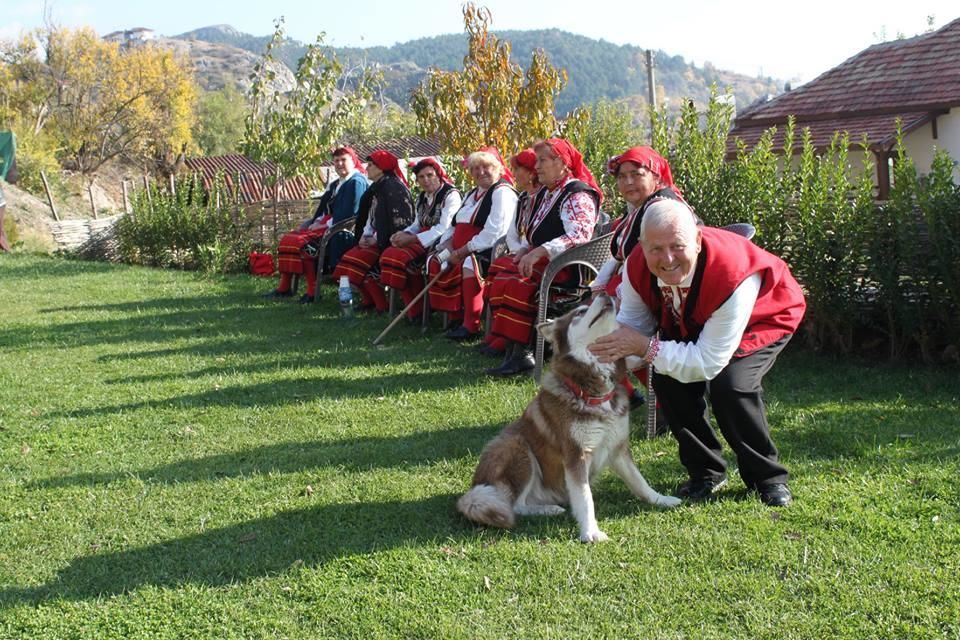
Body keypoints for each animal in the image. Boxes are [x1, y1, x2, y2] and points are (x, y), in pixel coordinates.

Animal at [458, 294, 684, 540]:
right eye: (580, 311)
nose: (605, 293)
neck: (594, 392)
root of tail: (476, 486)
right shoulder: (576, 454)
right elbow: (585, 498)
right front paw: (591, 531)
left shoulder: (618, 448)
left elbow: (639, 481)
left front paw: (661, 499)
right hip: (517, 448)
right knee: (514, 505)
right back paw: (547, 509)